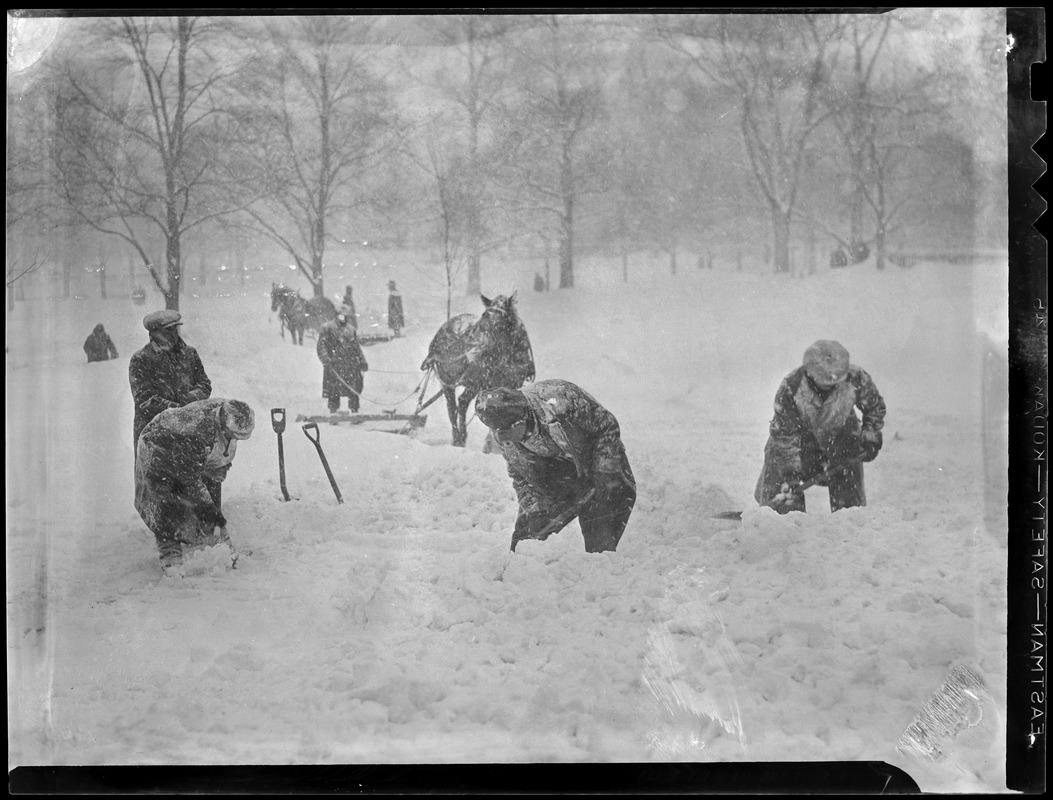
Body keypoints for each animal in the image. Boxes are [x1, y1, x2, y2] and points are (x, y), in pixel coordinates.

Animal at [419, 294, 534, 446]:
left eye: (501, 321)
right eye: (484, 316)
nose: (474, 349)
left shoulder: (512, 385)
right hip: (454, 383)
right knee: (455, 407)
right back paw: (459, 438)